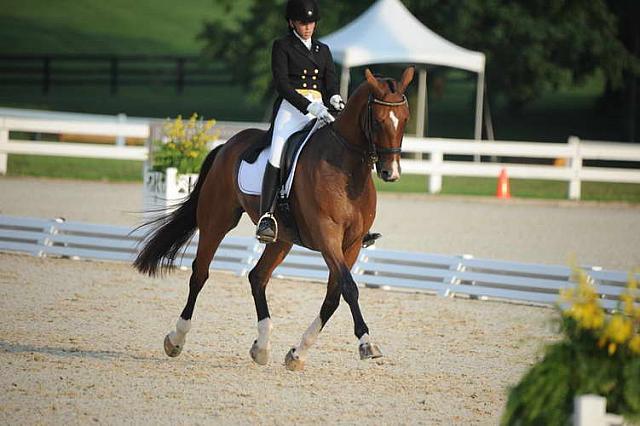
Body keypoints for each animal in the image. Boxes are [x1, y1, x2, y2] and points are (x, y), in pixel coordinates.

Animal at [135, 66, 416, 370]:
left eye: (405, 119)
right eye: (377, 121)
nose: (391, 172)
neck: (347, 168)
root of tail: (227, 145)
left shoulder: (351, 244)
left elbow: (334, 296)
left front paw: (297, 353)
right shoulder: (327, 237)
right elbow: (349, 288)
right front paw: (366, 343)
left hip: (282, 238)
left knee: (257, 277)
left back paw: (261, 346)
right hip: (216, 220)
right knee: (200, 273)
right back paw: (176, 339)